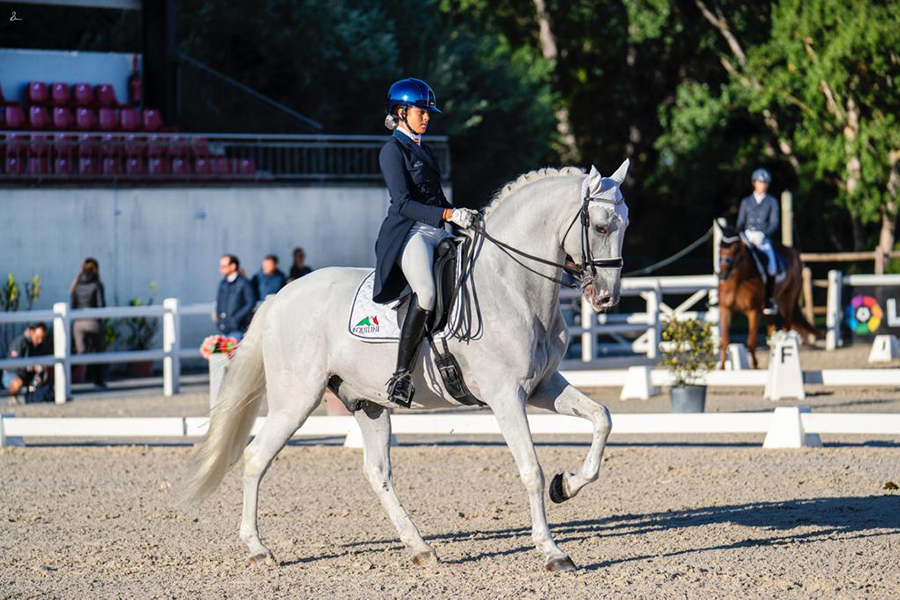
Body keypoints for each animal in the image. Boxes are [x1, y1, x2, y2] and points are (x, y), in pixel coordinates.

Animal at [181, 159, 632, 572]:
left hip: (367, 403)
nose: (606, 298)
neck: (511, 285)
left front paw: (566, 485)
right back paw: (259, 550)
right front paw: (553, 551)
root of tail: (279, 297)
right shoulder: (506, 396)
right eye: (600, 227)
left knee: (377, 472)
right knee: (256, 458)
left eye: (625, 225)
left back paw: (421, 548)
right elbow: (530, 470)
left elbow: (603, 417)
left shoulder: (542, 386)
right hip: (296, 400)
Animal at [716, 229, 824, 368]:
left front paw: (755, 367)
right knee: (772, 331)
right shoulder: (725, 308)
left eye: (736, 248)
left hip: (786, 302)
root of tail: (795, 253)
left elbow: (751, 342)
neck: (738, 280)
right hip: (767, 311)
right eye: (719, 247)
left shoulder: (754, 311)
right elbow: (724, 341)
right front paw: (722, 368)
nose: (722, 274)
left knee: (786, 328)